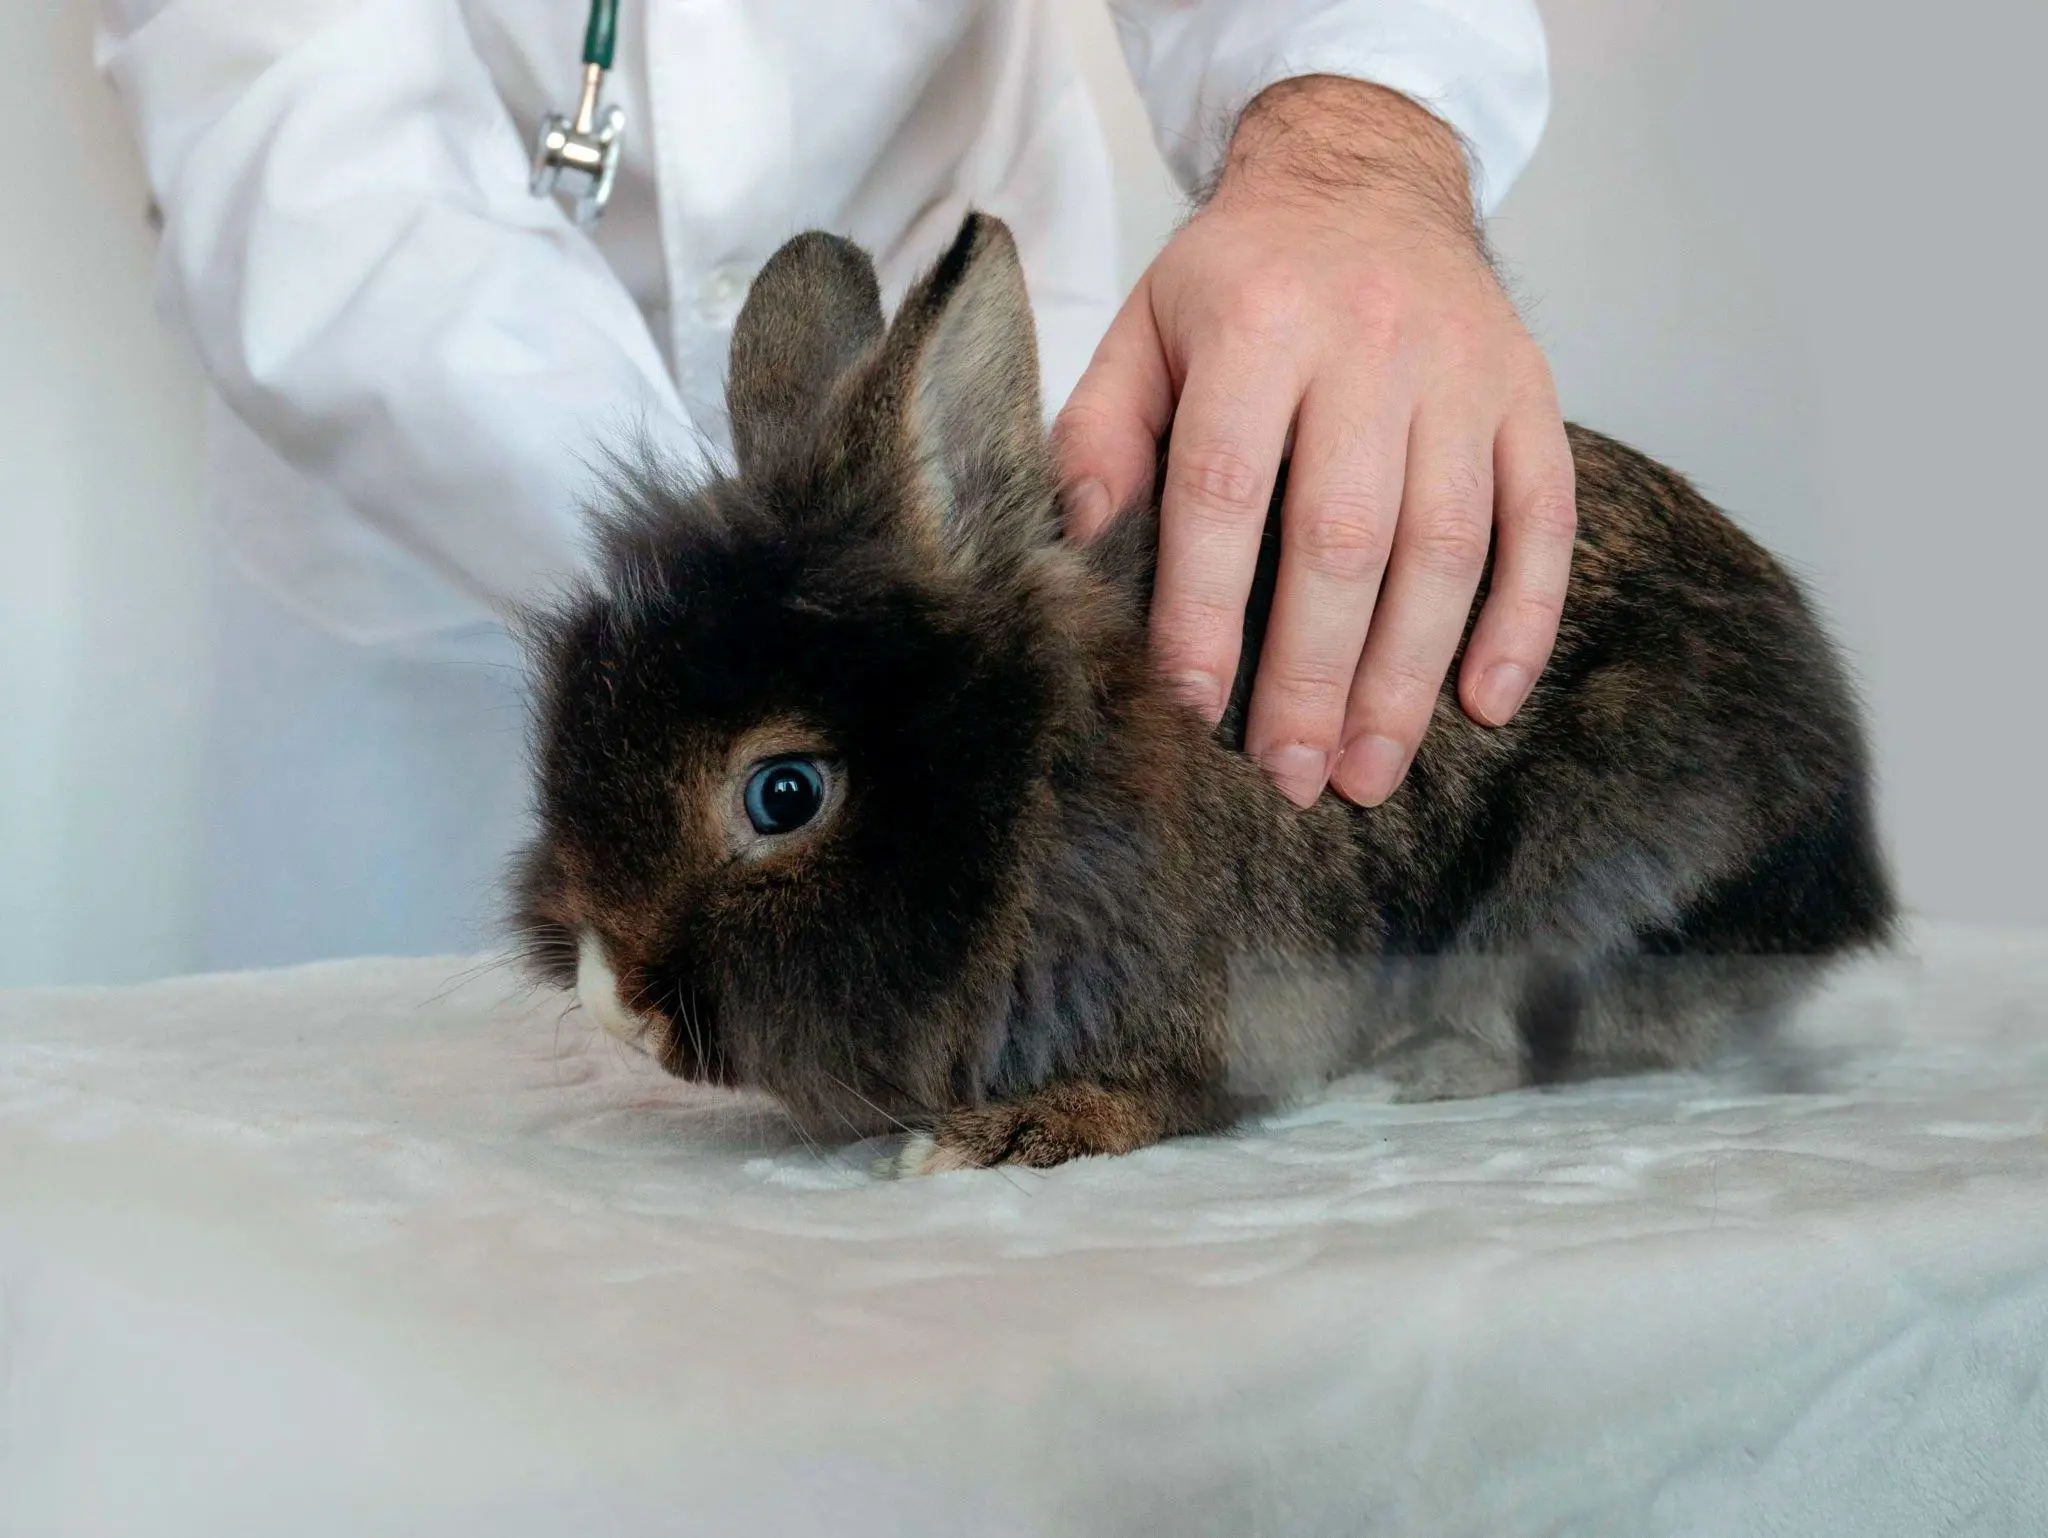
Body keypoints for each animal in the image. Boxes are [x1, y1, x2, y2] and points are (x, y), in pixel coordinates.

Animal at [510, 211, 1895, 1176]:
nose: (610, 1004)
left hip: (1591, 859)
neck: (1040, 788)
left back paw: (1406, 1074)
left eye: (784, 792)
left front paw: (993, 1137)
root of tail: (1843, 871)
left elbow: (1161, 1097)